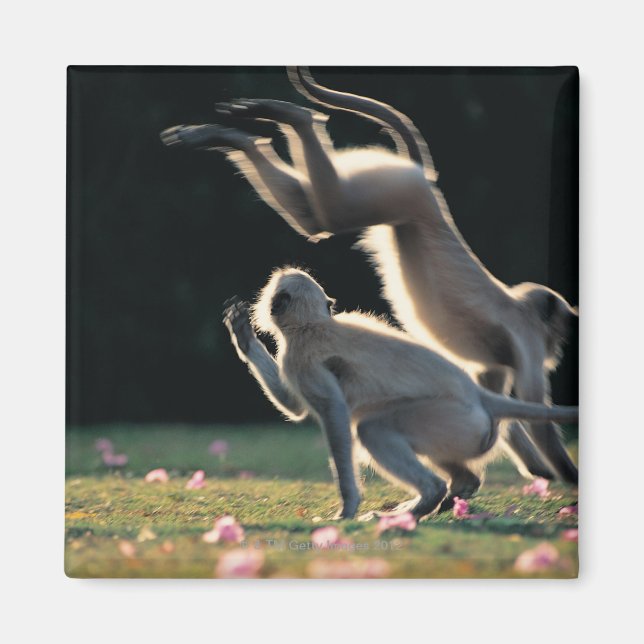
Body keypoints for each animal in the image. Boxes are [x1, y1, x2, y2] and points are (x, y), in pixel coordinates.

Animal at [162, 67, 579, 485]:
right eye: (558, 332)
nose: (558, 348)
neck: (517, 306)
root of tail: (427, 184)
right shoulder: (527, 338)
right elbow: (532, 412)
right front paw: (566, 475)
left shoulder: (499, 361)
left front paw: (539, 469)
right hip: (404, 191)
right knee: (330, 215)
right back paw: (292, 117)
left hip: (396, 194)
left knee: (315, 219)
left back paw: (242, 134)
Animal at [222, 267, 578, 520]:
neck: (312, 325)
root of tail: (478, 393)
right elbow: (296, 407)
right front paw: (243, 336)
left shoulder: (299, 359)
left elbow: (333, 413)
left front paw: (347, 508)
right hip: (466, 431)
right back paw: (454, 491)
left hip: (454, 420)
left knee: (371, 428)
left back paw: (428, 497)